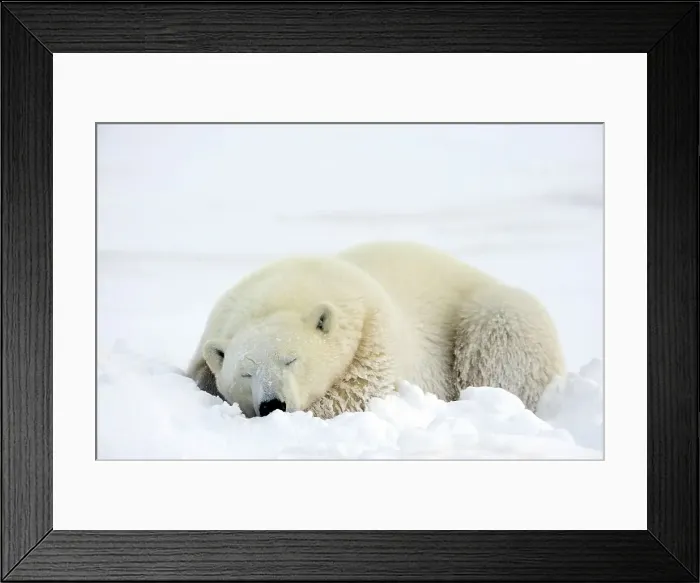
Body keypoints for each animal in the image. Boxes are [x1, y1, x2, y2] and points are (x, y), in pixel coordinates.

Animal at [185, 241, 566, 419]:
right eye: (246, 373)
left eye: (291, 359)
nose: (272, 405)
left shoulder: (371, 331)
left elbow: (358, 394)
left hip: (495, 313)